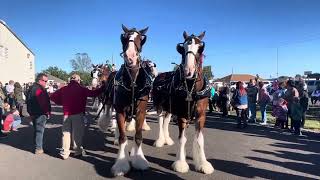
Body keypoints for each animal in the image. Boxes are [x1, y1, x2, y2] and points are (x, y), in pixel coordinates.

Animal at [152, 31, 214, 174]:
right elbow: (182, 139)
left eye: (200, 48)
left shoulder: (201, 115)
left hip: (169, 107)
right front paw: (180, 163)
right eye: (182, 48)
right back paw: (160, 140)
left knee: (166, 120)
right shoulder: (181, 114)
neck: (192, 88)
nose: (188, 71)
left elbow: (200, 139)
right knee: (160, 120)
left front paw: (203, 163)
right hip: (159, 105)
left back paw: (167, 139)